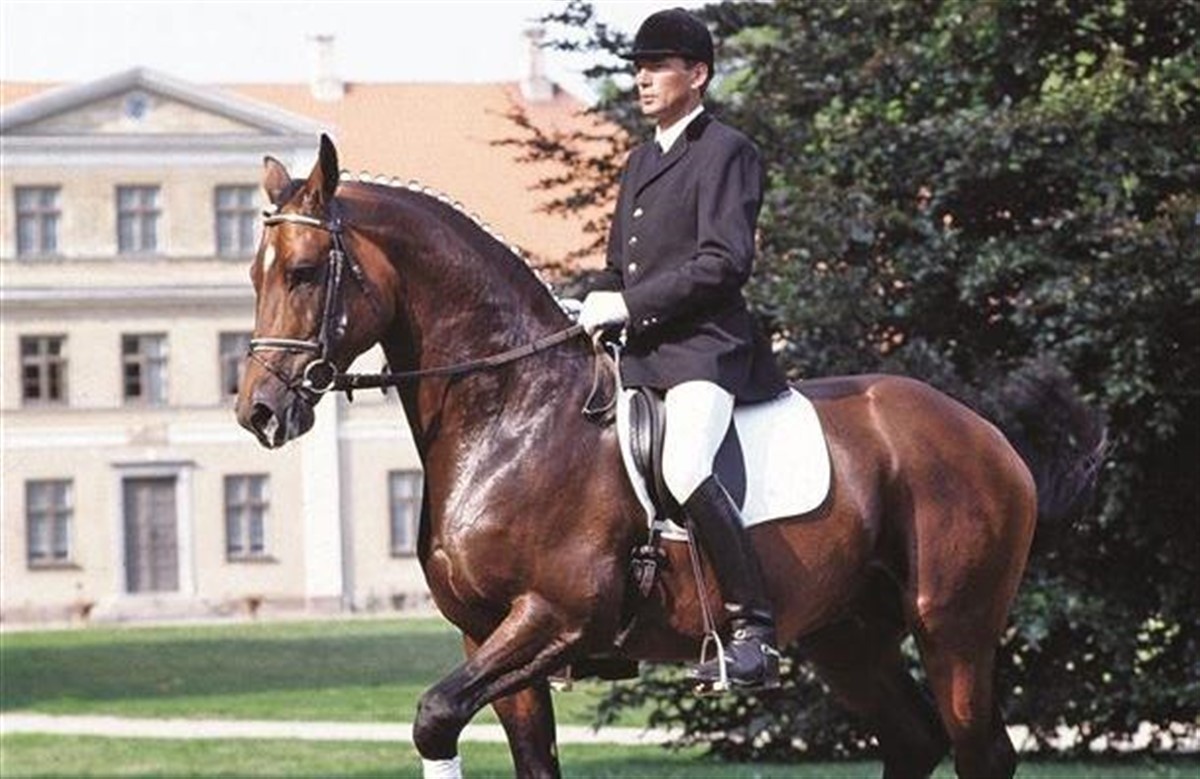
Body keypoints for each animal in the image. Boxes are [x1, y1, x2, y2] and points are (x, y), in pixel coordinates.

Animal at [236, 135, 1104, 779]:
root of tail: (985, 432)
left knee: (977, 749)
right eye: (252, 274)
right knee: (914, 739)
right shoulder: (487, 637)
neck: (511, 415)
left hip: (955, 625)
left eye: (306, 273)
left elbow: (433, 716)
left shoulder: (554, 617)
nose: (259, 410)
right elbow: (503, 748)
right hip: (849, 634)